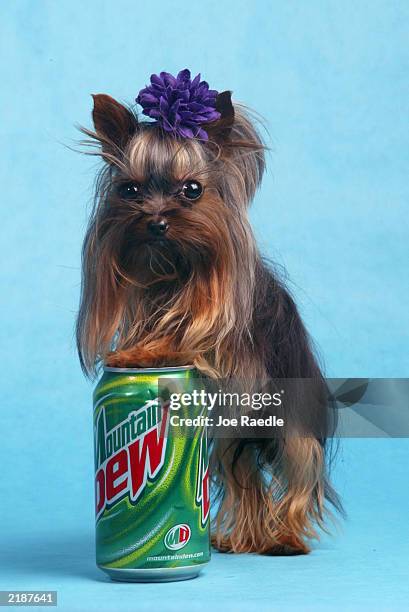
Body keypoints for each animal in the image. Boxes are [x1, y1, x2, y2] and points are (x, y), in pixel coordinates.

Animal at [75, 70, 338, 556]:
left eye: (192, 189)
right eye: (130, 189)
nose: (156, 221)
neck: (173, 272)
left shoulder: (220, 340)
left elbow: (186, 339)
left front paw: (149, 352)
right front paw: (133, 351)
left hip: (289, 419)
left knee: (299, 470)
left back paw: (285, 537)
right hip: (234, 435)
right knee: (242, 476)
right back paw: (243, 538)